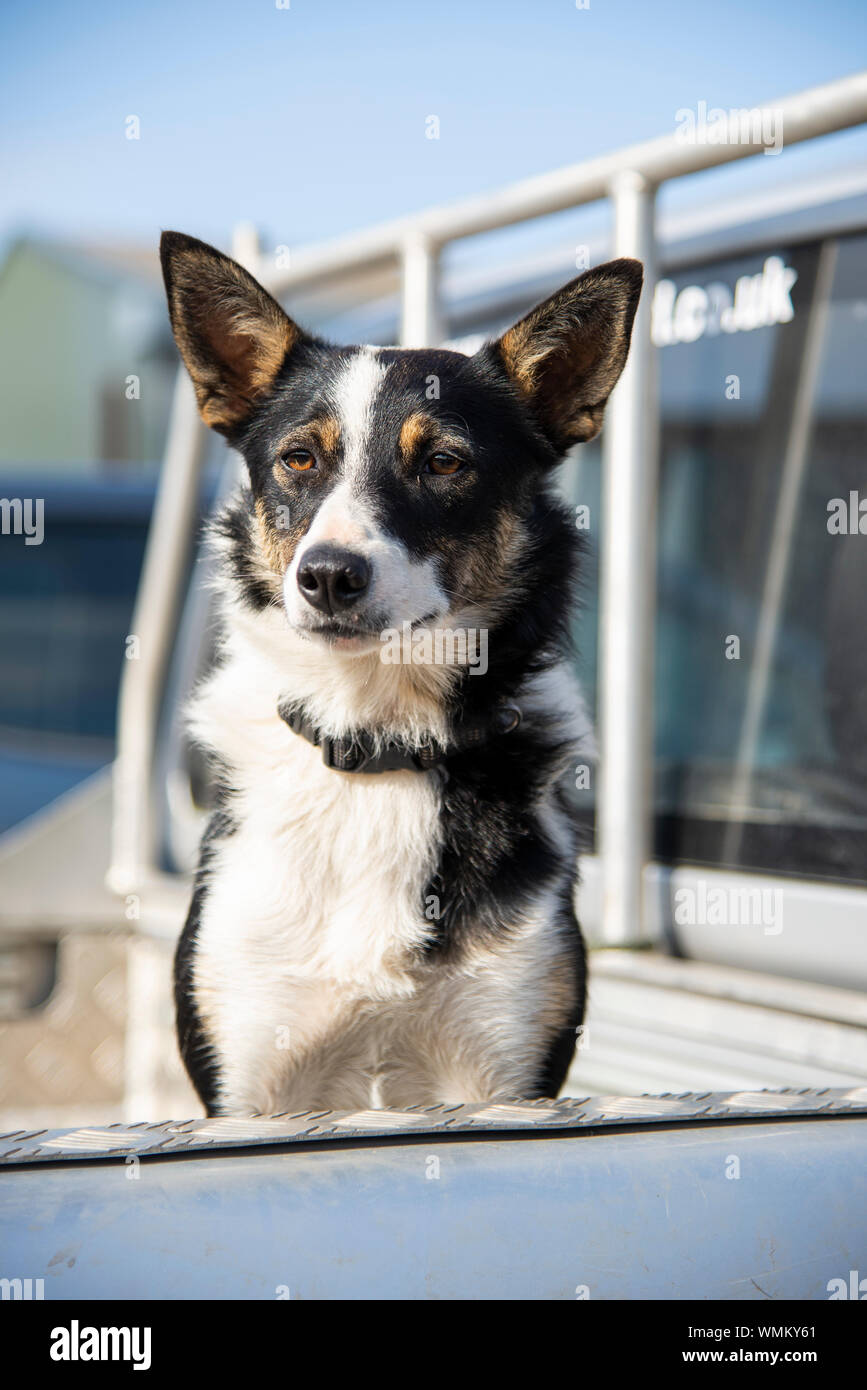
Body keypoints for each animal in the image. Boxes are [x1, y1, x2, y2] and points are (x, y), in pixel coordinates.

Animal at [159, 230, 639, 1117]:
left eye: (444, 463)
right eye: (298, 459)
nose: (327, 576)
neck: (376, 740)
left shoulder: (505, 1074)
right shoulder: (247, 1083)